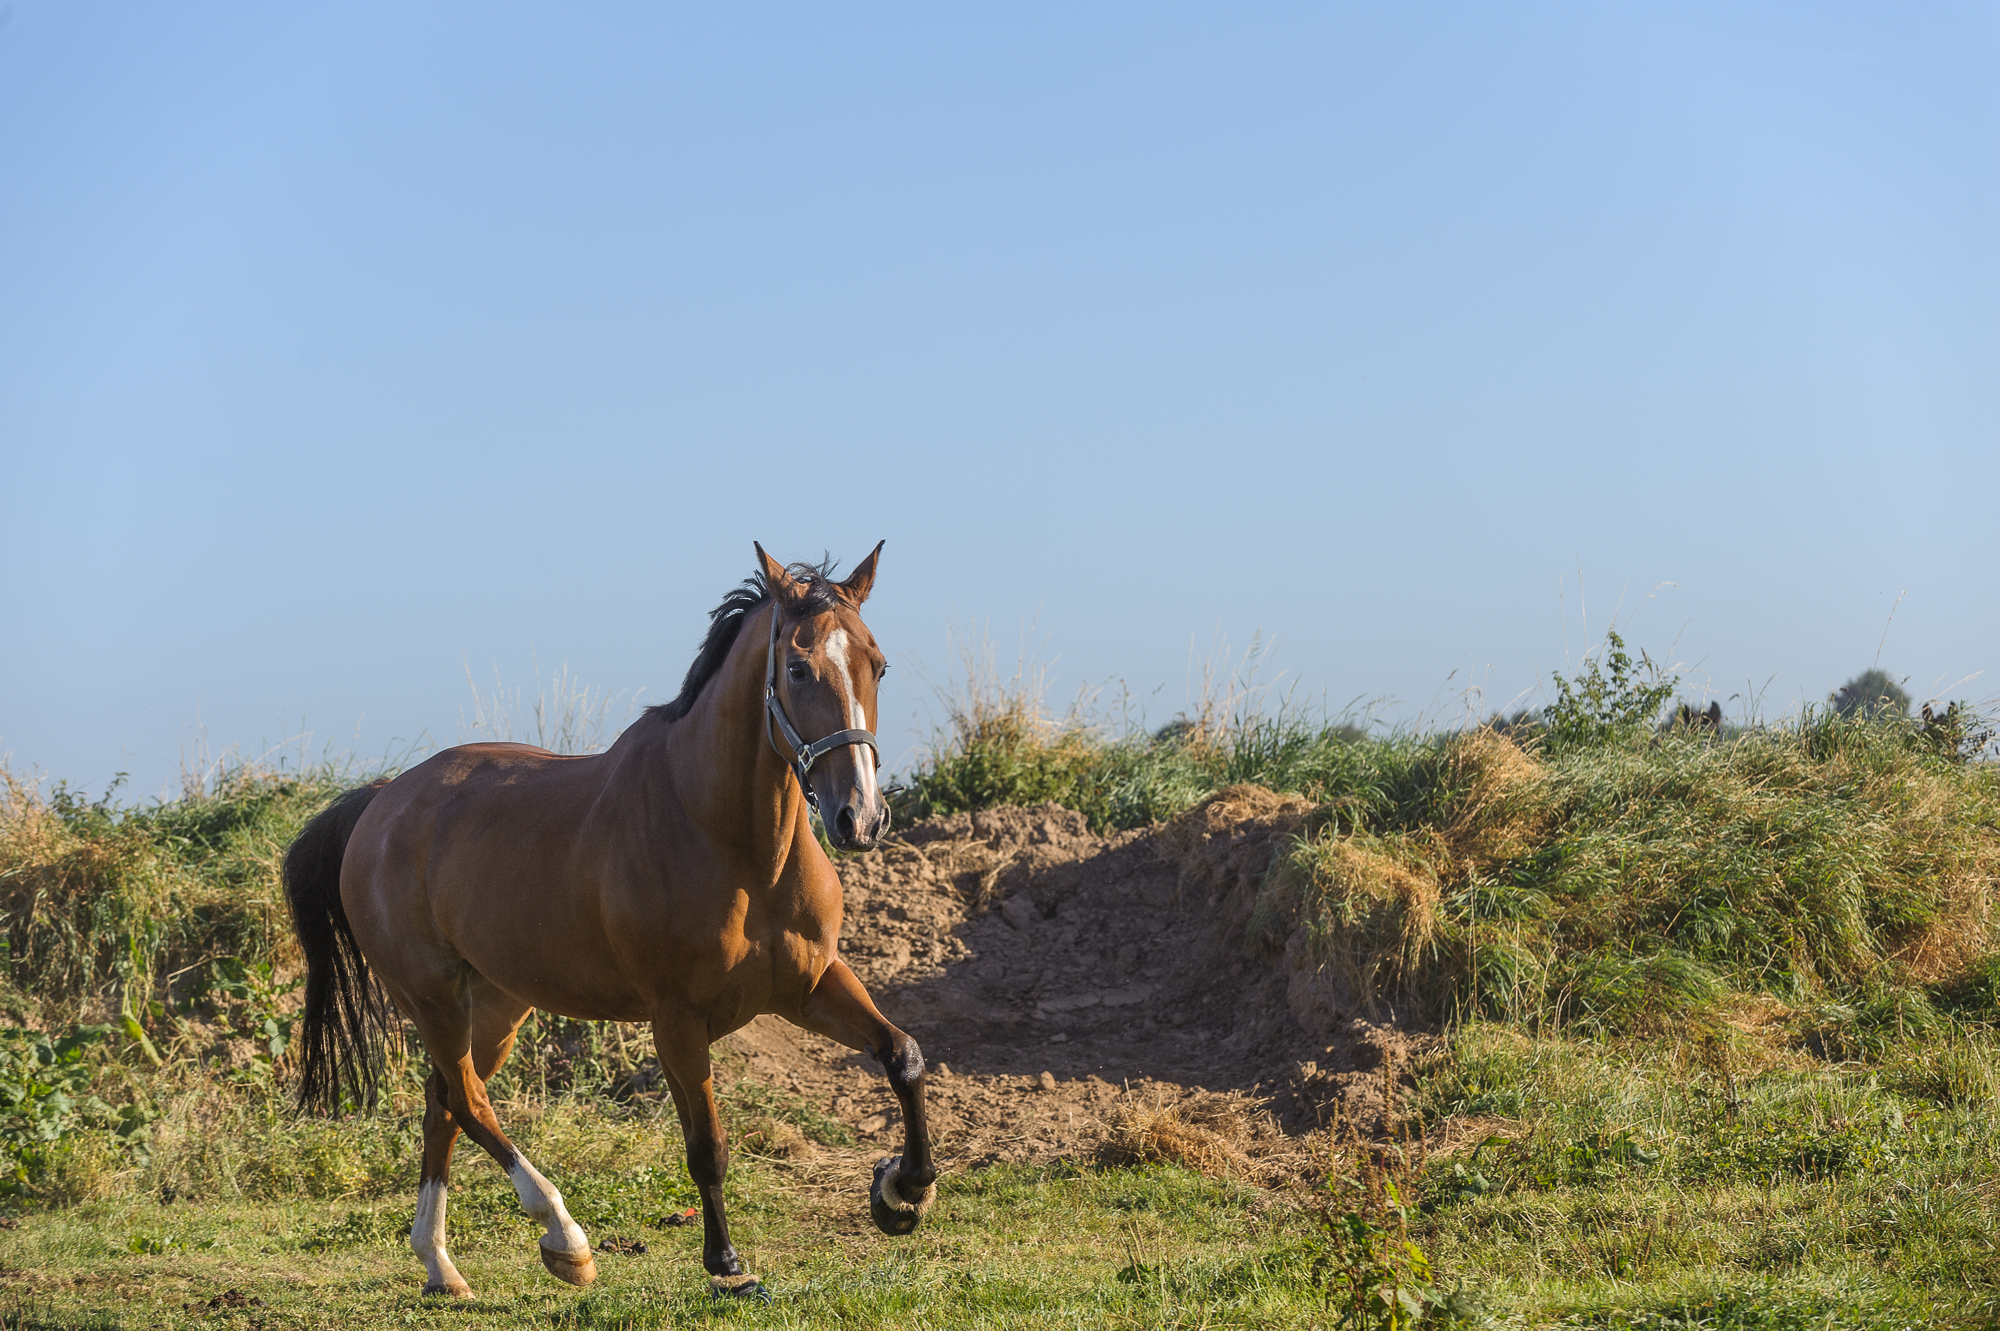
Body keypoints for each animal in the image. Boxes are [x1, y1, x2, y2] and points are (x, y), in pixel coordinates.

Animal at [282, 543, 936, 1295]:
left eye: (877, 665)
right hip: (431, 998)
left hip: (497, 1004)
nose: (860, 818)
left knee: (443, 1100)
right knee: (469, 1102)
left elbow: (903, 1056)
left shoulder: (809, 986)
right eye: (797, 668)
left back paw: (441, 1265)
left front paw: (901, 1192)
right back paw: (563, 1236)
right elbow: (707, 1145)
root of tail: (381, 802)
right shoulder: (677, 1019)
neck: (734, 843)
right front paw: (728, 1267)